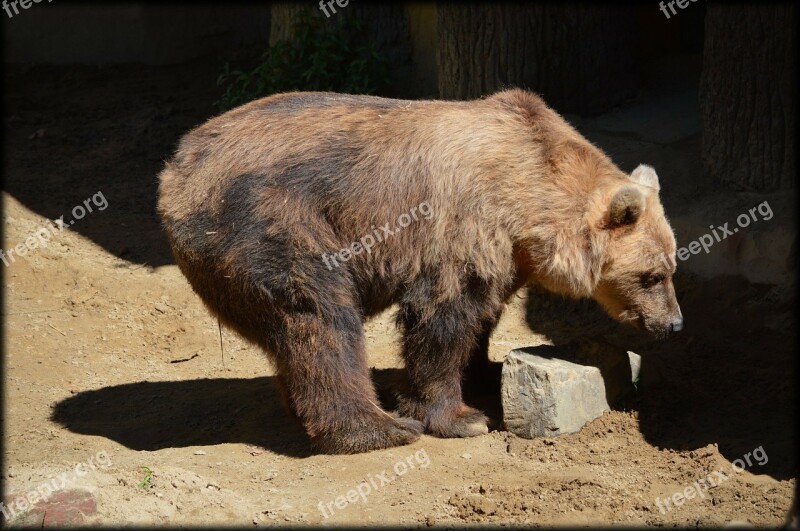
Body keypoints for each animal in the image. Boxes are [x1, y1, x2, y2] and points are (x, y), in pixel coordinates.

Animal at [156, 89, 680, 456]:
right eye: (652, 276)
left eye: (674, 266)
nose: (674, 323)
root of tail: (175, 167)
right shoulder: (460, 225)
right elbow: (442, 319)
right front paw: (460, 416)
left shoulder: (504, 253)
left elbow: (482, 314)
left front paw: (485, 373)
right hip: (271, 224)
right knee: (320, 319)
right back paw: (377, 427)